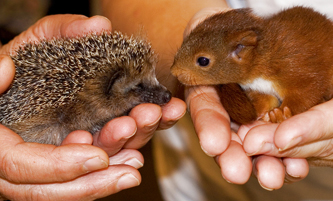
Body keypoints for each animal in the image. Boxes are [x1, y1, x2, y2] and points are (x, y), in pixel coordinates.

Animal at [170, 6, 332, 124]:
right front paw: (260, 112)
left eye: (203, 61)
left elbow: (308, 90)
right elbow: (265, 100)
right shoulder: (258, 89)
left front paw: (282, 113)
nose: (174, 72)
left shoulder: (295, 66)